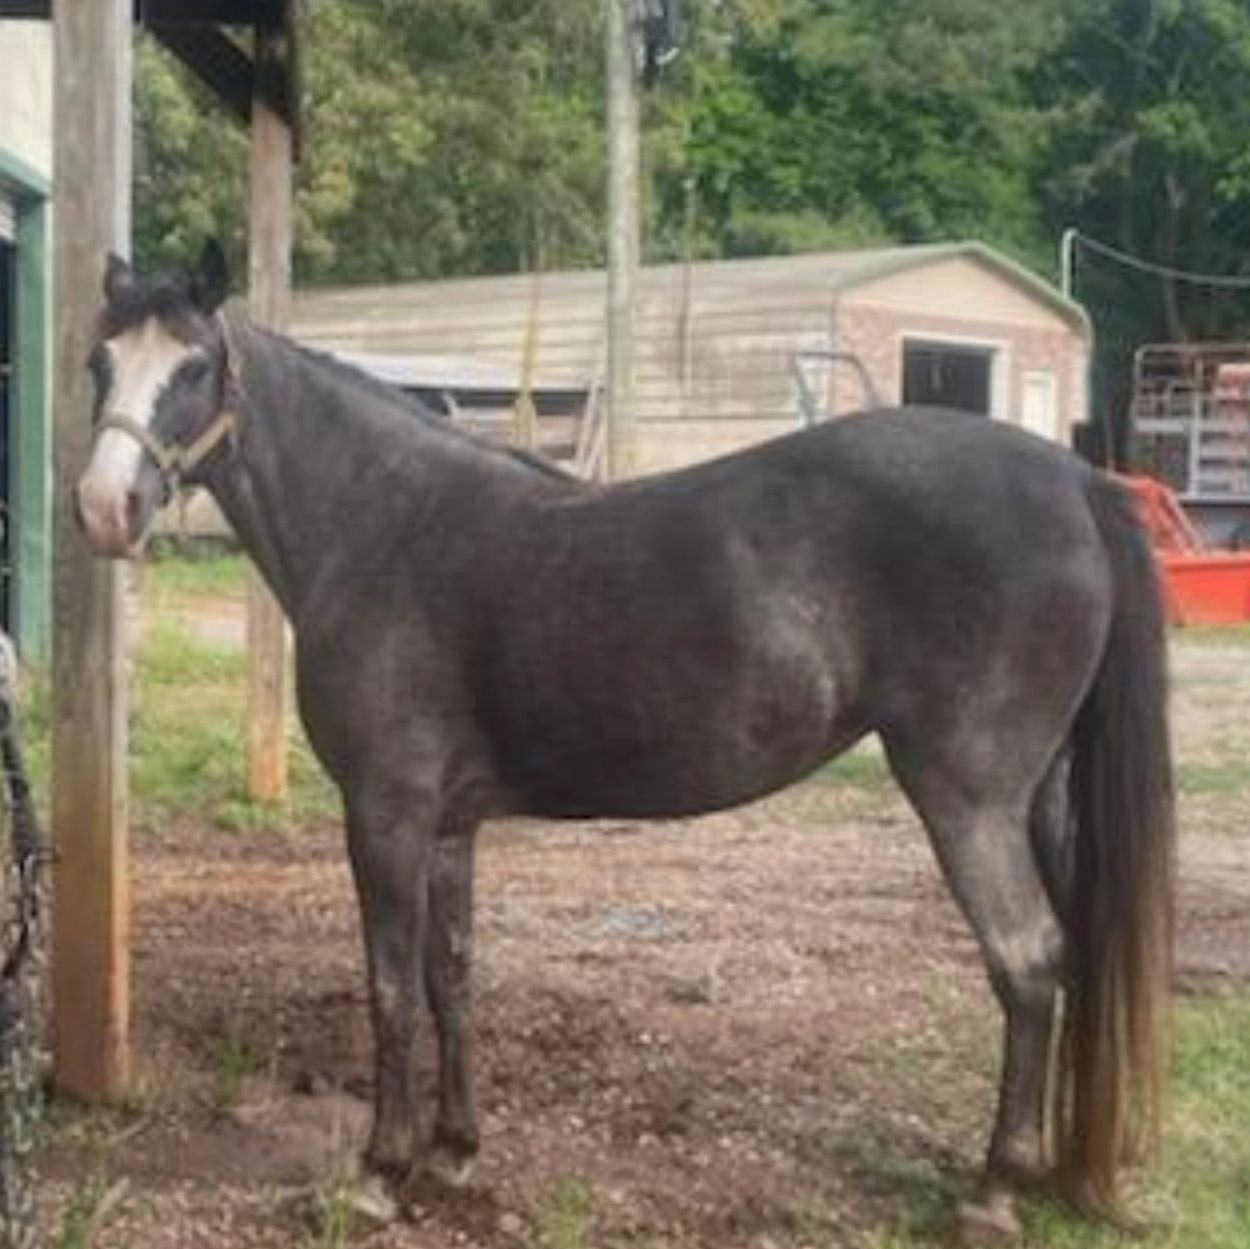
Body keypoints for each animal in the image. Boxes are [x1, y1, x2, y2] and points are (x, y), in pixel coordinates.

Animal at [75, 243, 1175, 1241]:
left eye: (192, 368)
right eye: (100, 363)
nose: (103, 509)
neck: (383, 523)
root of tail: (1074, 479)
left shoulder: (385, 812)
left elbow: (388, 988)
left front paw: (381, 1171)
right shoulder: (447, 824)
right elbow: (449, 977)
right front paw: (454, 1151)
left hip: (967, 796)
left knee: (1026, 961)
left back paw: (992, 1190)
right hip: (1044, 796)